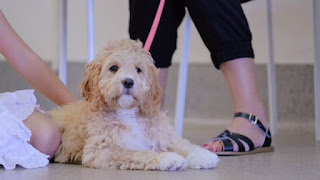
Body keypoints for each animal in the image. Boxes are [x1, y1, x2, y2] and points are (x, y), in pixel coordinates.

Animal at [50, 39, 220, 170]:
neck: (128, 112)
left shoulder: (161, 133)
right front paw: (167, 158)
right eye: (113, 68)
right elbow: (137, 153)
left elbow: (180, 144)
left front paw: (202, 155)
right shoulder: (102, 149)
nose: (128, 81)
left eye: (138, 69)